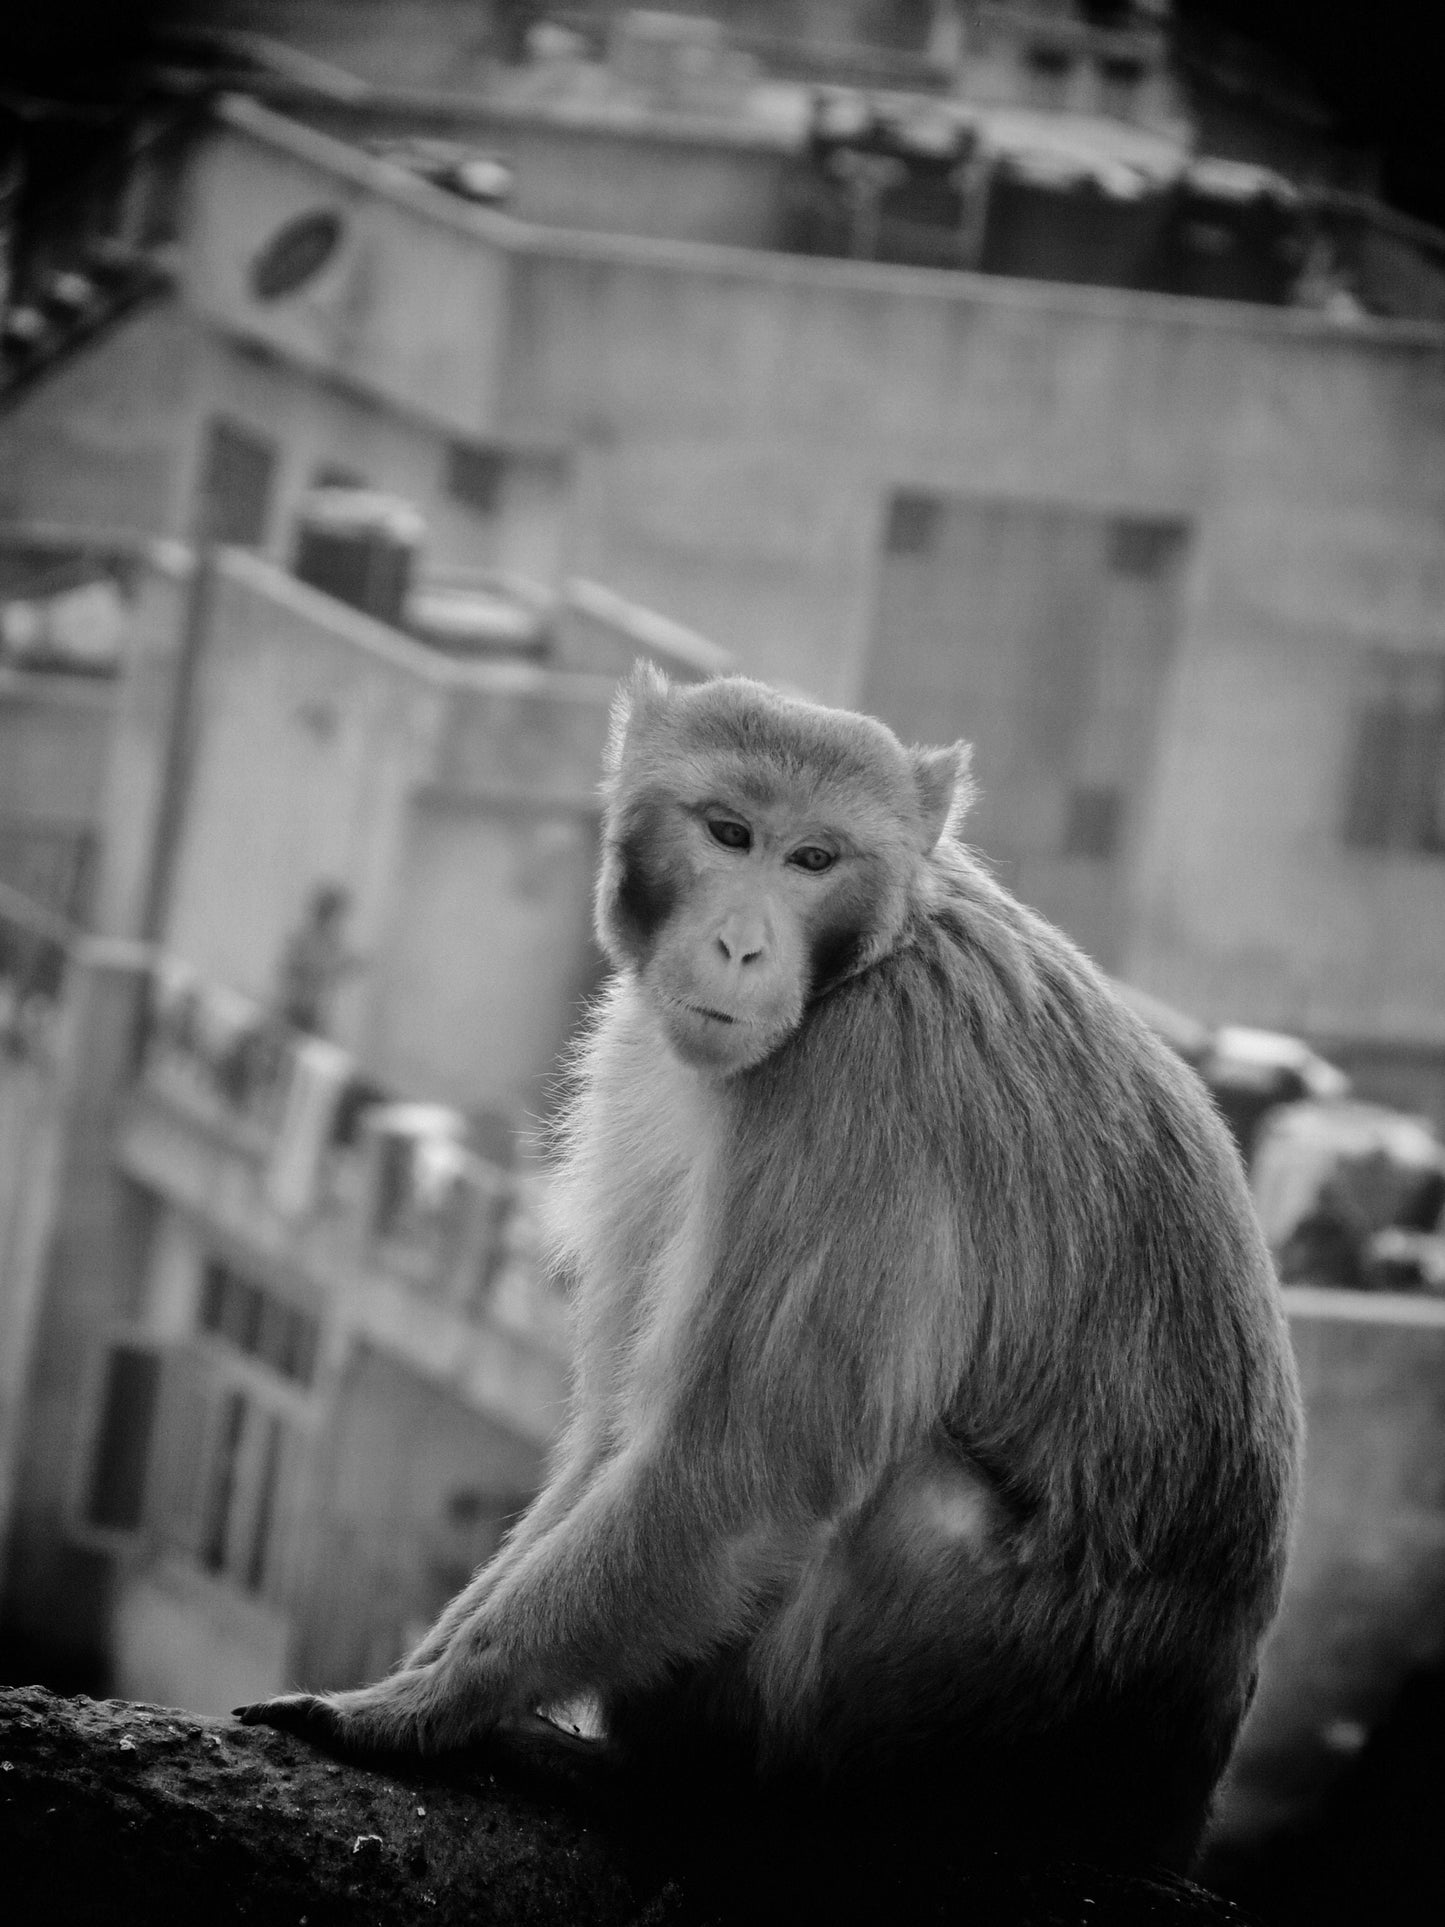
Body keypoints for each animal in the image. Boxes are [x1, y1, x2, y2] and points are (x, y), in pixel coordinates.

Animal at [238, 665, 1301, 1886]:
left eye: (813, 859)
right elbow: (616, 1432)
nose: (743, 946)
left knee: (908, 1500)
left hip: (969, 1697)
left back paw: (696, 1787)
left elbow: (749, 1466)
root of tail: (1165, 1814)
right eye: (729, 833)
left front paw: (419, 1707)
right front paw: (440, 1673)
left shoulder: (864, 1086)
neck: (869, 961)